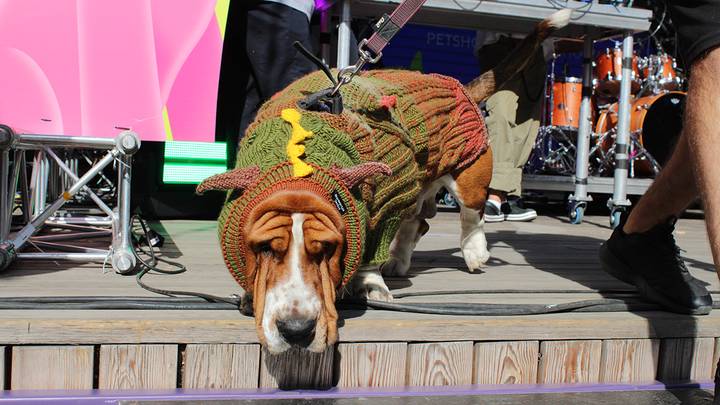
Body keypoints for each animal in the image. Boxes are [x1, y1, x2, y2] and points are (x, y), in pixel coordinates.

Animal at [198, 8, 572, 350]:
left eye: (327, 249)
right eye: (262, 249)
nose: (296, 330)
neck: (297, 166)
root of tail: (458, 85)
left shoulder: (383, 206)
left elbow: (370, 257)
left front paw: (370, 285)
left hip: (467, 176)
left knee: (471, 216)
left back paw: (474, 253)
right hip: (414, 186)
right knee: (418, 223)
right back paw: (398, 261)